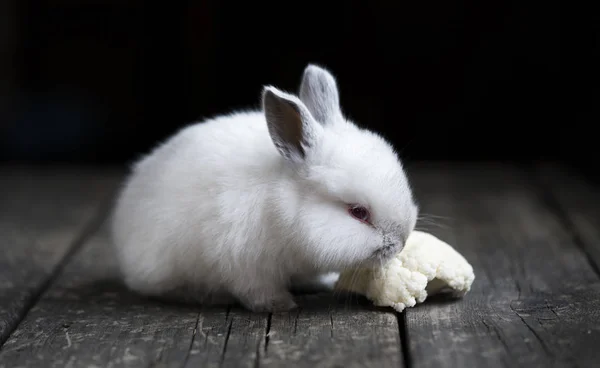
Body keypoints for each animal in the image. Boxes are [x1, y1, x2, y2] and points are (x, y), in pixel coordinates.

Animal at [110, 63, 418, 310]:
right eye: (358, 212)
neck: (280, 211)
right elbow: (256, 290)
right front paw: (280, 305)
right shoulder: (243, 263)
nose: (400, 244)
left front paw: (323, 283)